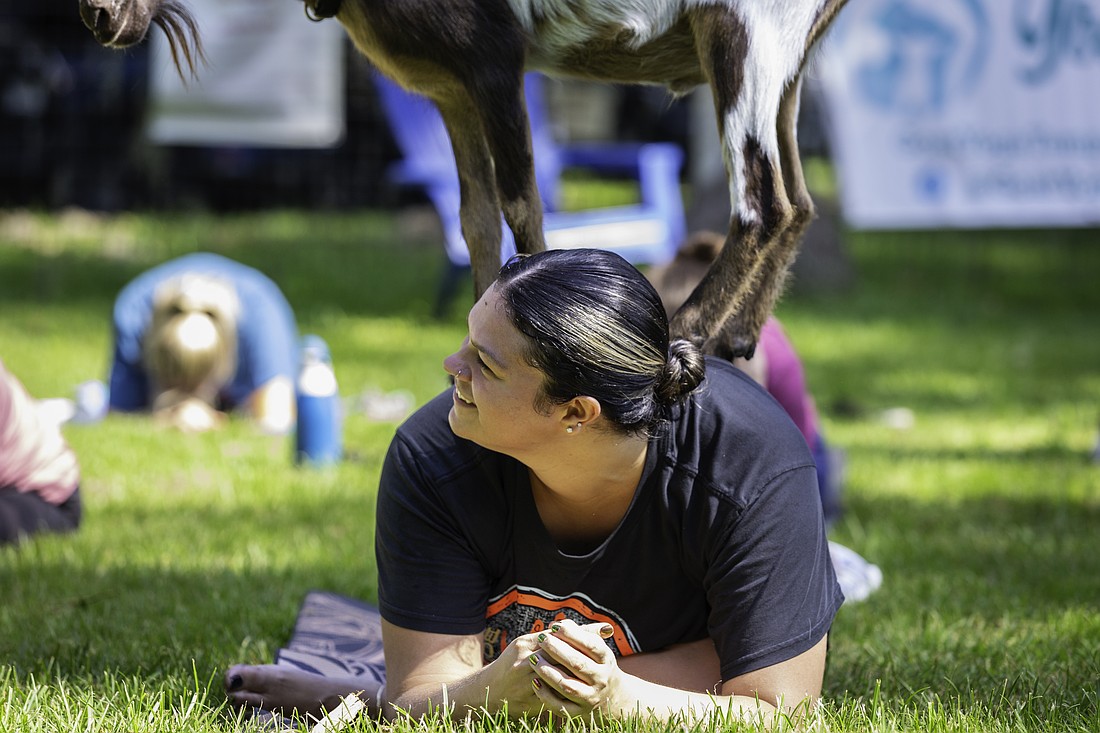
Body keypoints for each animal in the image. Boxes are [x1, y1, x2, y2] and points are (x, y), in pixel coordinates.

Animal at [77, 0, 844, 356]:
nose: (98, 14)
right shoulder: (448, 89)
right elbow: (474, 216)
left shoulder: (493, 60)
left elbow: (522, 203)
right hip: (787, 66)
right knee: (802, 201)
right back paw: (735, 338)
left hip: (744, 34)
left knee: (763, 202)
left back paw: (682, 338)